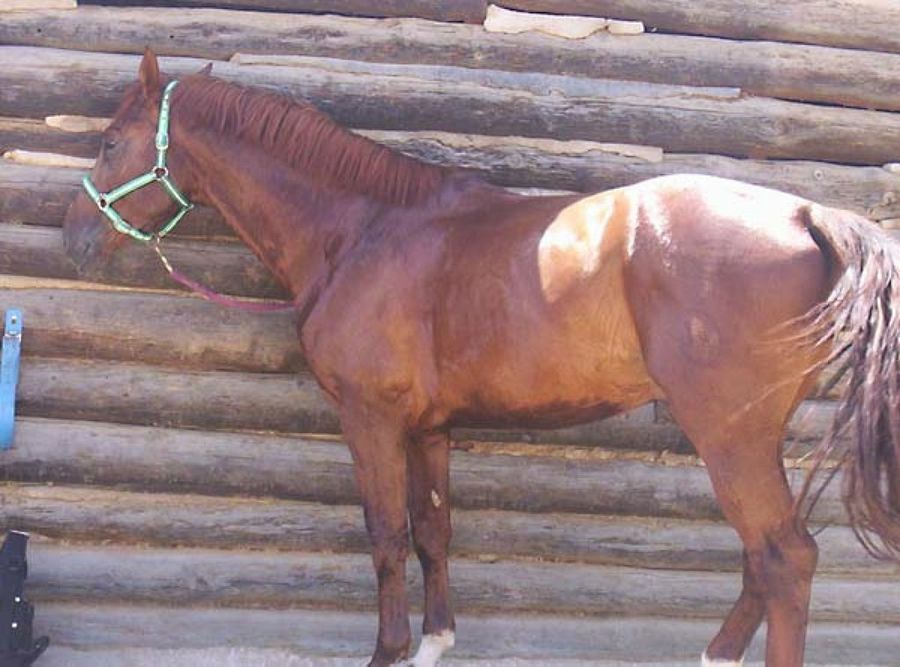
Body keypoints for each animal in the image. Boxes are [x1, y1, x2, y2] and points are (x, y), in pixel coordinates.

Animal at [63, 50, 900, 667]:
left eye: (108, 142)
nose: (73, 235)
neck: (363, 230)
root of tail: (806, 212)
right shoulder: (430, 426)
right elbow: (433, 529)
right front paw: (435, 641)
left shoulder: (369, 418)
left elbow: (385, 533)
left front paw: (387, 650)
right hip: (754, 435)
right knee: (765, 555)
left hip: (728, 433)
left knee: (785, 557)